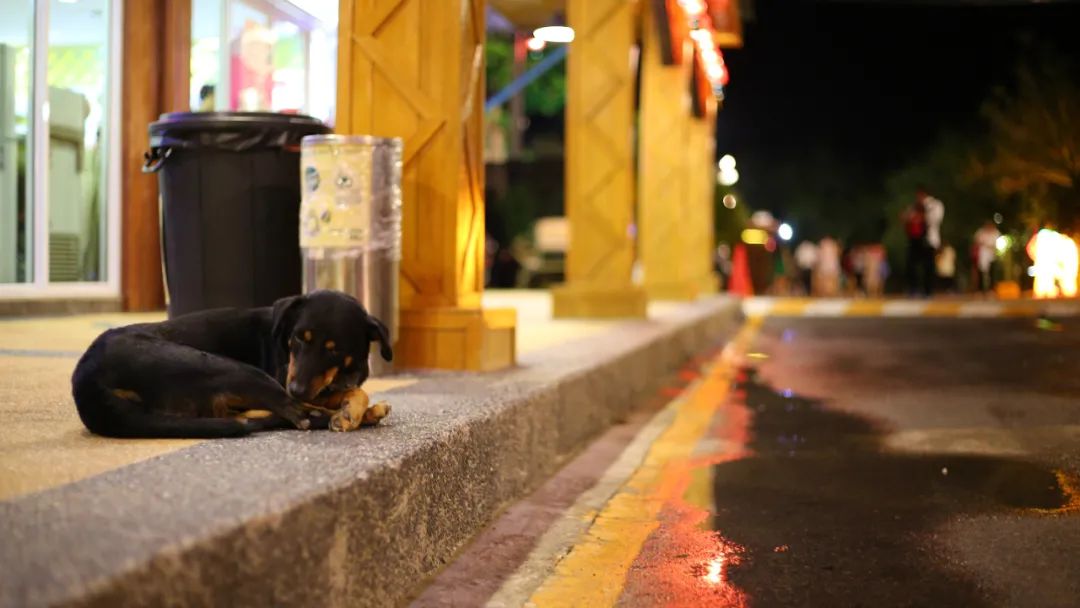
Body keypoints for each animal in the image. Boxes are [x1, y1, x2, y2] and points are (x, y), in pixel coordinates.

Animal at [71, 289, 393, 438]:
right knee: (295, 413)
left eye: (333, 351)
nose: (297, 389)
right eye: (298, 338)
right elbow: (352, 393)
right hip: (228, 367)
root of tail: (87, 381)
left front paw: (355, 408)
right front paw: (350, 412)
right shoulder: (286, 376)